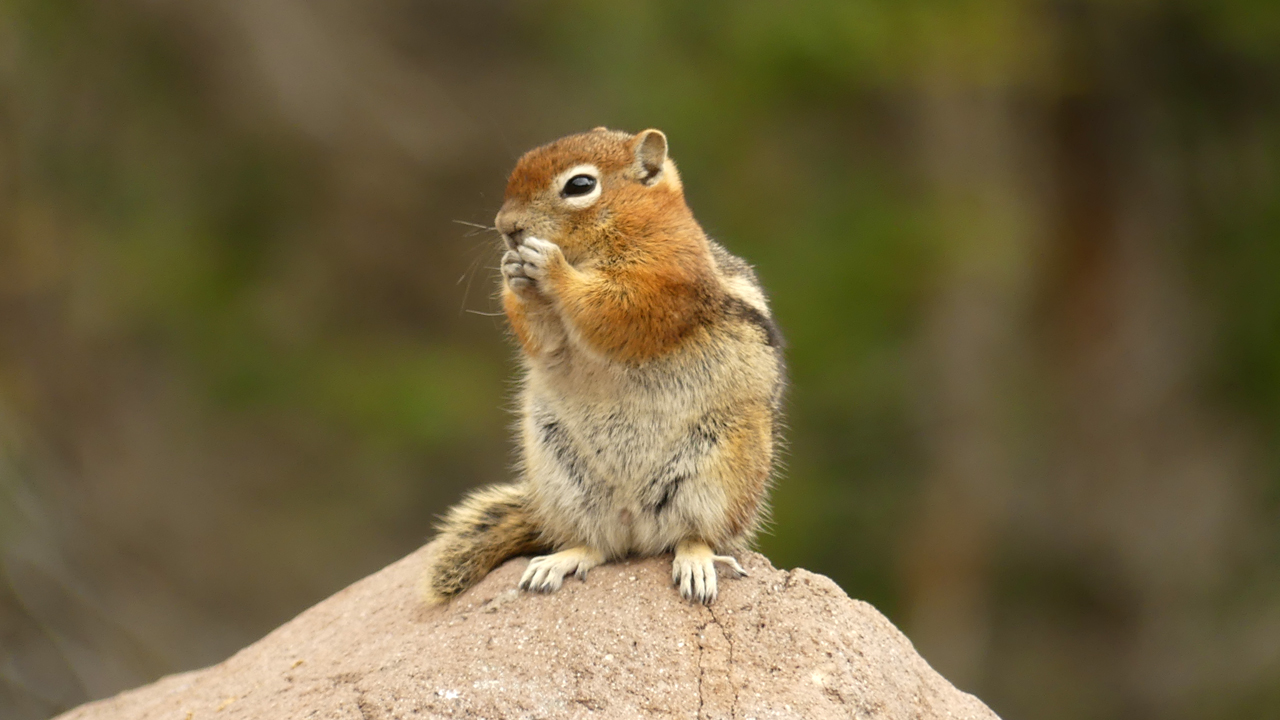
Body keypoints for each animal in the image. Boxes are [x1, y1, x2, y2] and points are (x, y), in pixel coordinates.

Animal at [422, 126, 778, 602]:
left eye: (580, 185)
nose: (507, 228)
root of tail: (636, 523)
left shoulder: (663, 276)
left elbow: (613, 308)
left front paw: (549, 267)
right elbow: (545, 340)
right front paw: (515, 274)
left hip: (719, 472)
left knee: (695, 535)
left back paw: (696, 564)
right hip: (563, 479)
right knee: (601, 547)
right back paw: (559, 561)